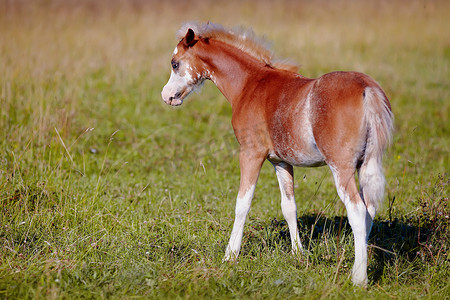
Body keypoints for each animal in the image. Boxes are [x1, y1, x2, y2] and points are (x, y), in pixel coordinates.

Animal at [160, 22, 392, 286]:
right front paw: (298, 254)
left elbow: (242, 203)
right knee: (369, 209)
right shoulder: (281, 161)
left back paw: (359, 277)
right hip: (365, 164)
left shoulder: (250, 154)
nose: (166, 96)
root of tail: (367, 88)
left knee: (357, 210)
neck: (250, 84)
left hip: (341, 167)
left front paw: (230, 256)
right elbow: (289, 206)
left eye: (174, 63)